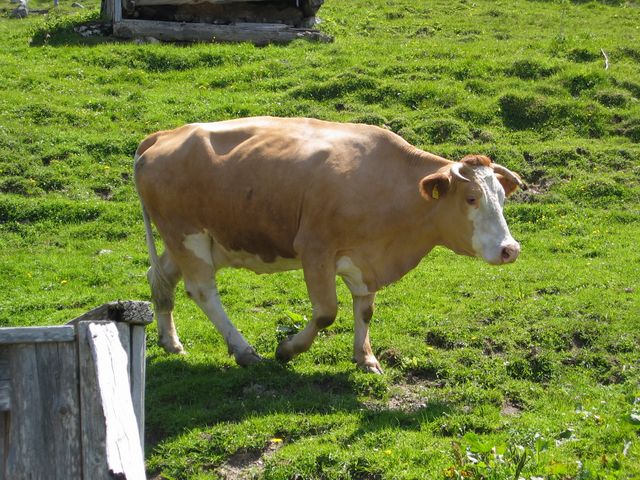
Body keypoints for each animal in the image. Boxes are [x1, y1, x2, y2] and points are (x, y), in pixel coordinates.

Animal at [134, 116, 524, 374]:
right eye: (471, 198)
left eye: (502, 196)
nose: (510, 249)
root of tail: (164, 135)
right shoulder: (315, 249)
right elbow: (326, 312)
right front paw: (287, 350)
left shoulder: (366, 261)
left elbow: (364, 310)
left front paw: (365, 358)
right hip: (187, 235)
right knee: (202, 291)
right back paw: (244, 350)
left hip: (195, 241)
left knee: (160, 277)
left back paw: (170, 341)